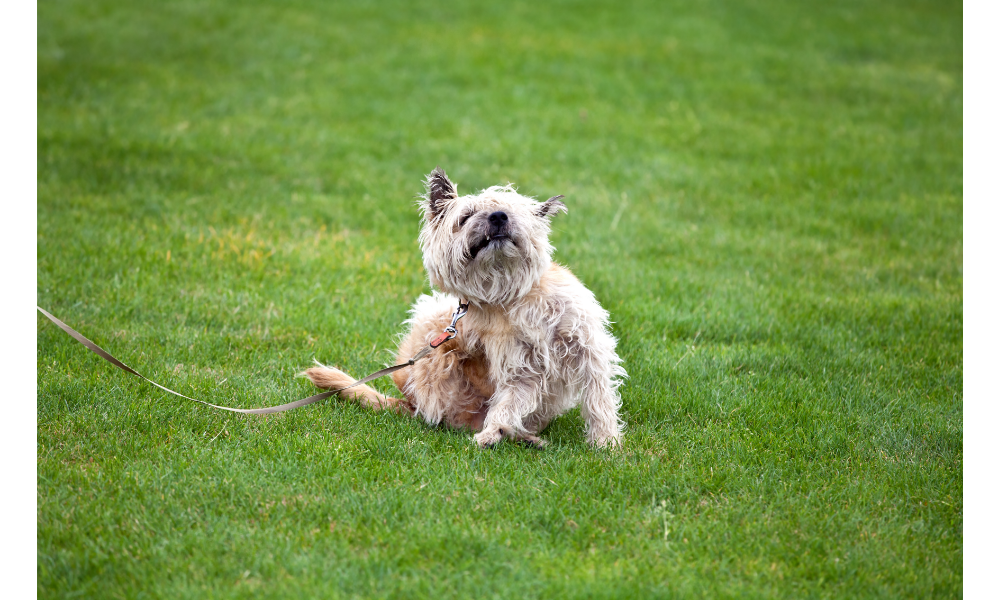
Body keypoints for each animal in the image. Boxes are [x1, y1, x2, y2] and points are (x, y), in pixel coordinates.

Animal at [306, 166, 624, 448]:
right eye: (466, 216)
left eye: (512, 211)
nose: (498, 216)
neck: (512, 295)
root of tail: (409, 404)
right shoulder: (520, 367)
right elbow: (509, 402)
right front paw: (491, 433)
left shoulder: (586, 348)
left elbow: (599, 398)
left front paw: (606, 443)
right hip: (431, 328)